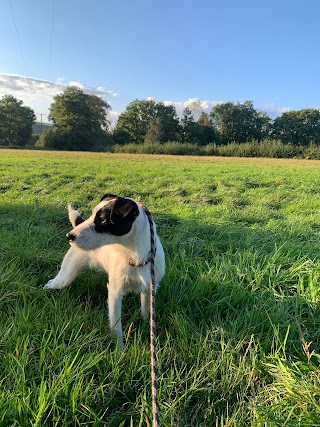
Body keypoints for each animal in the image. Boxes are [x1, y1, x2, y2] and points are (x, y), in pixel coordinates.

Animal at [43, 194, 165, 348]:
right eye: (92, 214)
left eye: (102, 219)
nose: (69, 236)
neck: (135, 257)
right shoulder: (115, 293)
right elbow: (116, 326)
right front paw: (120, 350)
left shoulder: (150, 289)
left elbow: (146, 311)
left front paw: (145, 326)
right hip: (64, 277)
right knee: (51, 283)